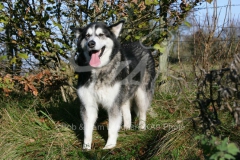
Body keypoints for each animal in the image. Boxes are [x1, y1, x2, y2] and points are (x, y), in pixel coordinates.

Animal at [72, 20, 156, 149]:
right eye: (87, 35)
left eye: (101, 34)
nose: (91, 43)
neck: (98, 71)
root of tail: (141, 44)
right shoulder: (88, 105)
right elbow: (87, 130)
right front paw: (86, 148)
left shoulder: (113, 104)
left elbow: (111, 128)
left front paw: (109, 146)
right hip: (124, 94)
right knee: (126, 109)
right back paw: (127, 127)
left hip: (141, 94)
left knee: (142, 112)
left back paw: (141, 128)